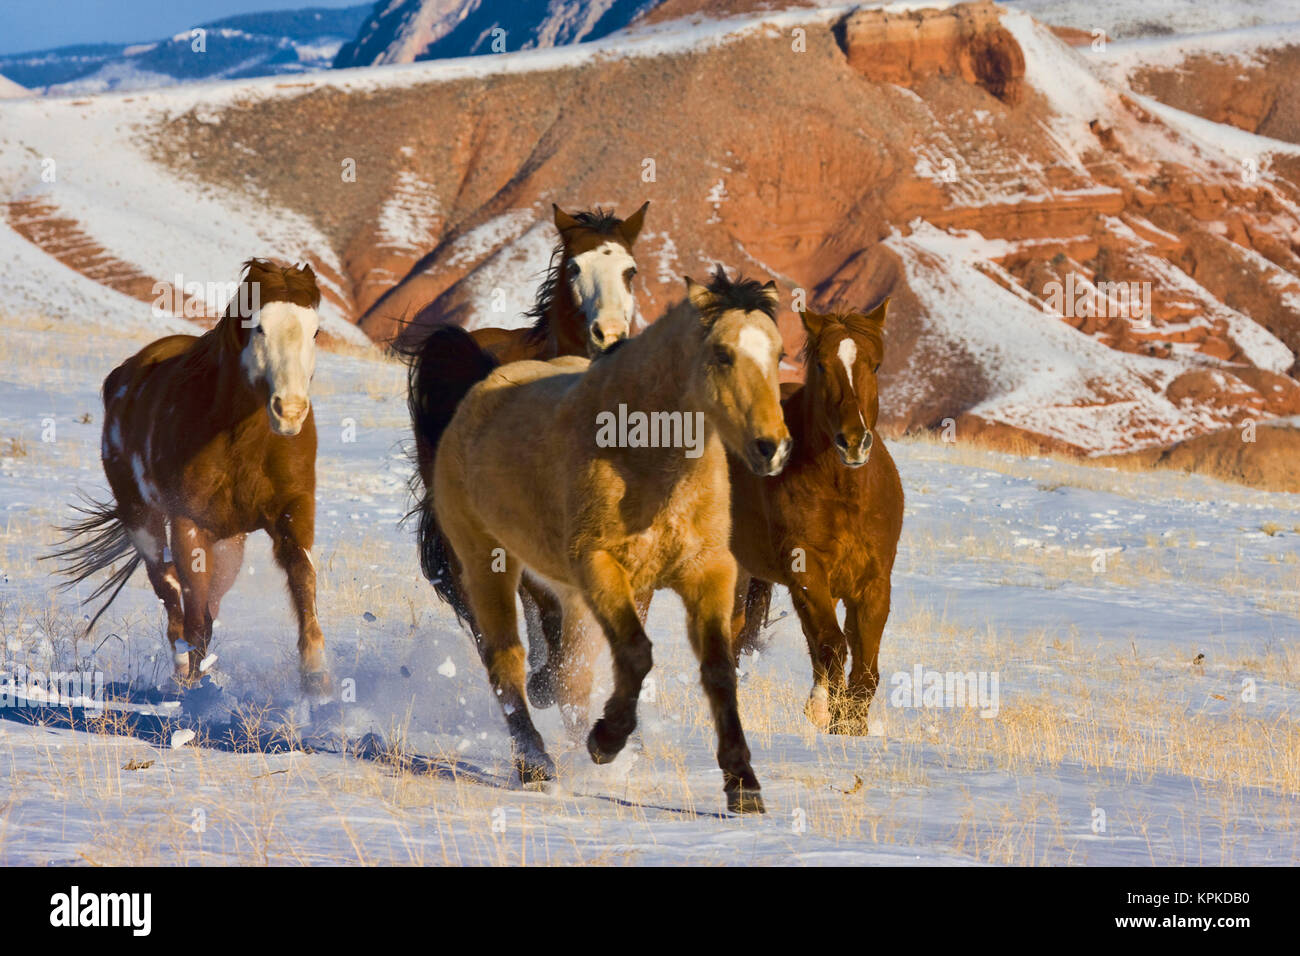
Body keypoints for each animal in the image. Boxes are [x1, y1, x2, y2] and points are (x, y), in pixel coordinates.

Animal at [49, 259, 330, 693]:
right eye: (259, 328)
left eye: (314, 331)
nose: (291, 411)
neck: (243, 439)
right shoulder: (188, 525)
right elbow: (194, 617)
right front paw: (195, 691)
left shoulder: (293, 514)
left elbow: (303, 586)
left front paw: (317, 681)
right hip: (143, 521)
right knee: (171, 596)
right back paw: (181, 672)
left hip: (229, 543)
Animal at [408, 270, 791, 813]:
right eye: (722, 354)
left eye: (779, 353)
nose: (771, 447)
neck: (648, 457)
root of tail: (480, 389)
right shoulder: (600, 566)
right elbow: (636, 653)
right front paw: (606, 742)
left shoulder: (707, 571)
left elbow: (719, 669)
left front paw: (743, 785)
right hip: (488, 564)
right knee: (507, 661)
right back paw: (536, 765)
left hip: (563, 591)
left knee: (570, 674)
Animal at [729, 302, 903, 733]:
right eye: (823, 365)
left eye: (876, 365)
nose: (853, 442)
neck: (845, 492)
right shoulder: (806, 570)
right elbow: (832, 643)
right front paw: (828, 712)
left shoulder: (874, 581)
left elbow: (865, 663)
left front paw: (850, 725)